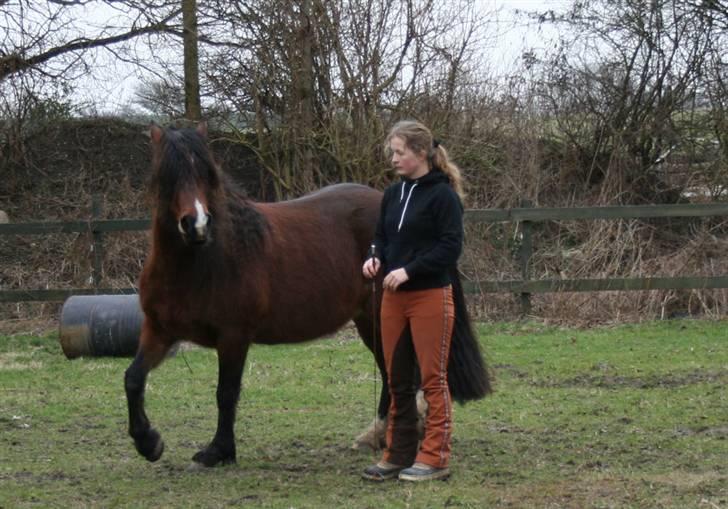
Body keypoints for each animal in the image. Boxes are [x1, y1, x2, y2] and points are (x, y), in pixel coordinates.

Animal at [123, 121, 490, 466]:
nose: (197, 225)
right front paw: (148, 443)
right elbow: (133, 378)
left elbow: (225, 393)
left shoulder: (233, 336)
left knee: (401, 373)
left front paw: (218, 451)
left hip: (381, 316)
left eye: (206, 173)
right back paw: (377, 436)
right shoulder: (159, 331)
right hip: (370, 321)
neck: (202, 261)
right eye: (167, 175)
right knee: (391, 373)